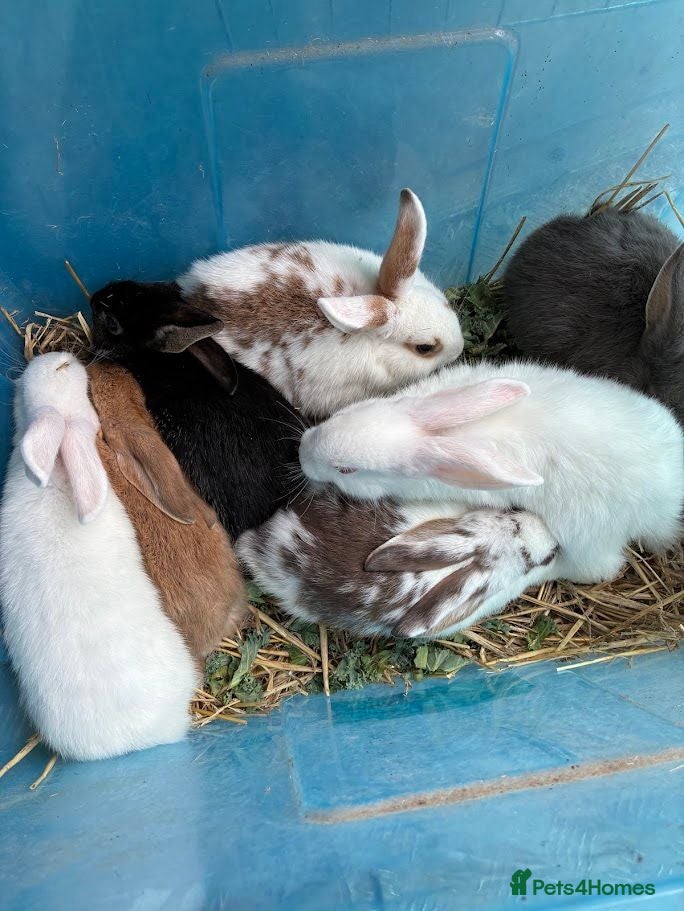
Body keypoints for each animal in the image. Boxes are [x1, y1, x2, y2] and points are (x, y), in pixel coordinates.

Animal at [298, 362, 684, 587]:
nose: (302, 450)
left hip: (586, 537)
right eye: (344, 413)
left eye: (346, 470)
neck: (438, 435)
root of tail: (666, 503)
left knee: (597, 569)